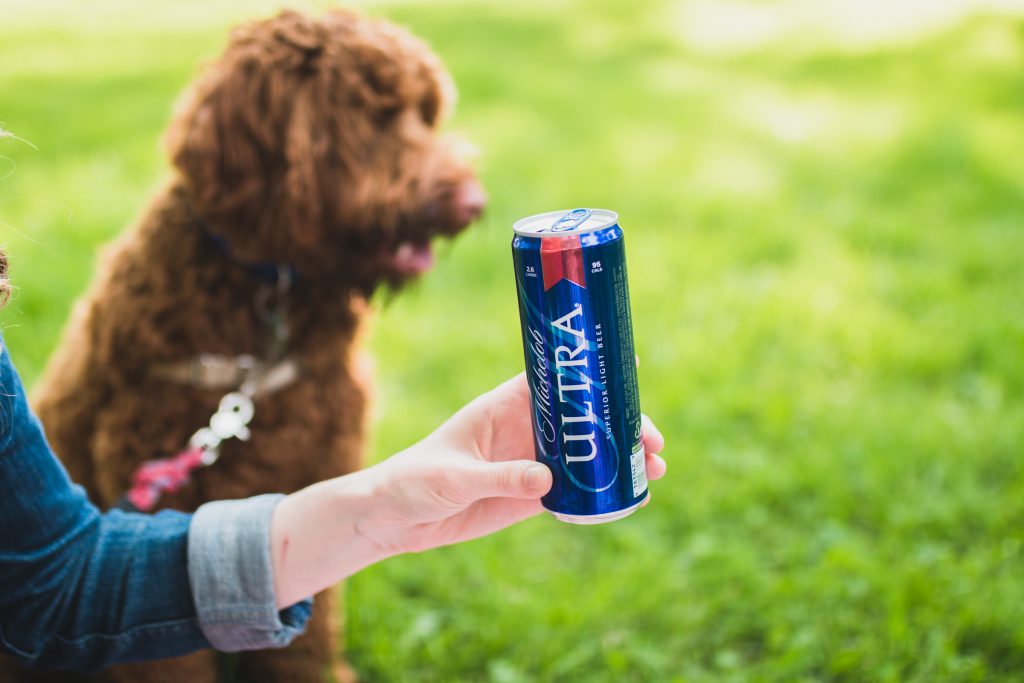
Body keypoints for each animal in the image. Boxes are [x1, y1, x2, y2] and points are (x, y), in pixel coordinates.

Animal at [12, 6, 483, 683]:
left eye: (427, 113)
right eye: (373, 114)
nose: (473, 204)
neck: (270, 297)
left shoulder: (316, 475)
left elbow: (307, 636)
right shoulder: (160, 497)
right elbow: (169, 655)